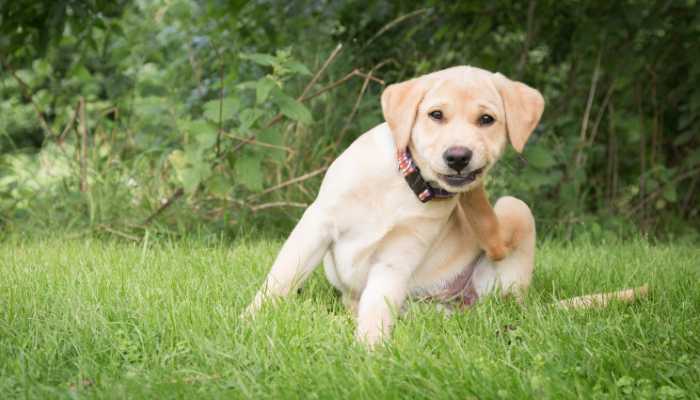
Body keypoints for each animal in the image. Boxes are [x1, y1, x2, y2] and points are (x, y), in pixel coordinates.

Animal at [245, 66, 644, 346]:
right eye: (435, 115)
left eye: (487, 119)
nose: (458, 157)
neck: (405, 185)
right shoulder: (317, 223)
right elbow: (280, 279)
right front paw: (250, 320)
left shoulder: (396, 261)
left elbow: (378, 309)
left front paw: (368, 351)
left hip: (510, 221)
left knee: (493, 246)